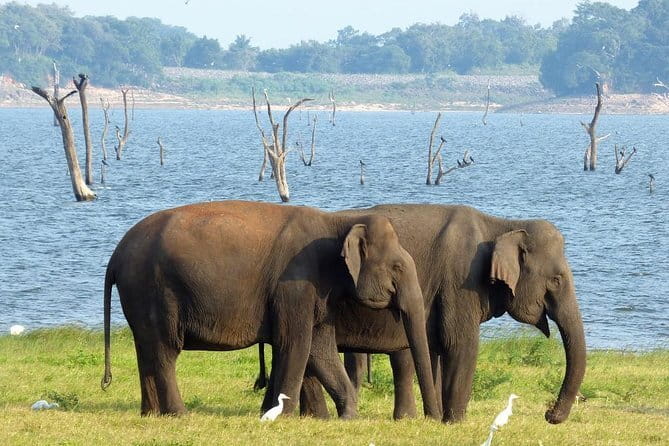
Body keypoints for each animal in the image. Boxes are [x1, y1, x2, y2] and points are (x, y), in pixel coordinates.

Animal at [100, 200, 440, 419]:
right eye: (397, 267)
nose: (434, 419)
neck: (335, 222)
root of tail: (115, 255)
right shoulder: (295, 283)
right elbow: (297, 343)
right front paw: (283, 417)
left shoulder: (314, 290)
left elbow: (320, 346)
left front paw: (349, 416)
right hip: (155, 289)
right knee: (165, 350)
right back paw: (179, 414)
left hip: (139, 295)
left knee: (146, 348)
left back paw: (150, 414)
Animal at [263, 204, 586, 424]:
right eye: (557, 279)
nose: (549, 414)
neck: (500, 224)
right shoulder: (460, 280)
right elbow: (460, 344)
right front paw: (454, 422)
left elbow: (436, 349)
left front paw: (438, 418)